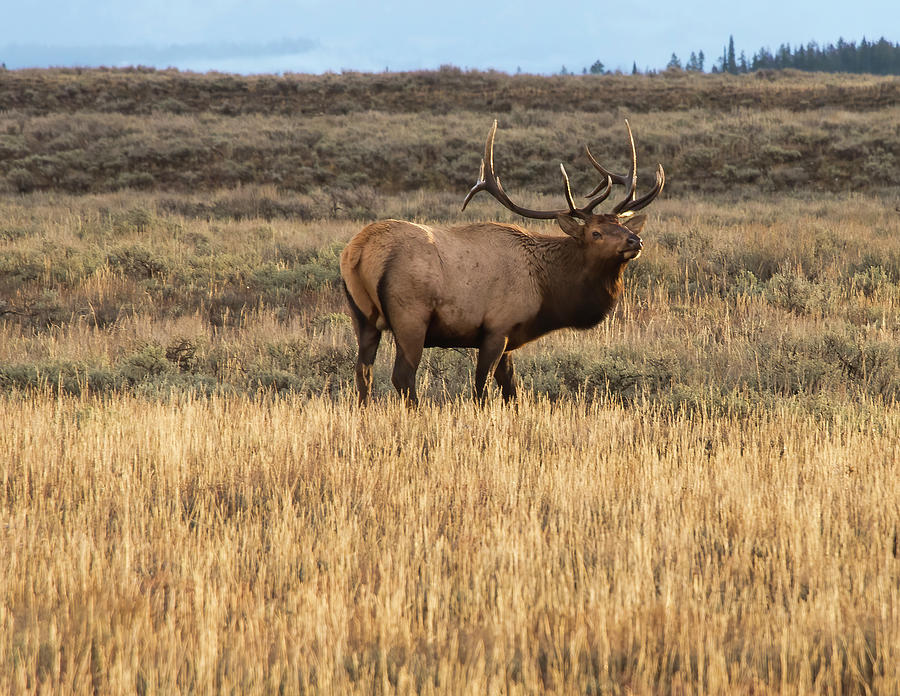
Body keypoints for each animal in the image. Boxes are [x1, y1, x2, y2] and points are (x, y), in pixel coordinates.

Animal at [342, 119, 664, 402]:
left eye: (621, 226)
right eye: (596, 233)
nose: (635, 241)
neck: (547, 289)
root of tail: (358, 250)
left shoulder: (509, 336)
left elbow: (512, 390)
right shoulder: (496, 328)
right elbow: (481, 388)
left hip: (362, 318)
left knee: (363, 374)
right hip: (410, 317)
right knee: (403, 377)